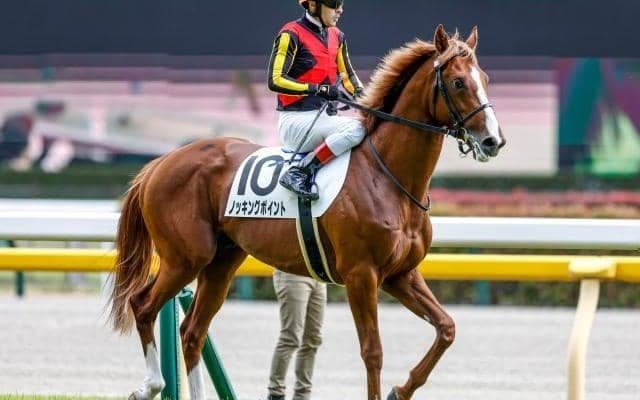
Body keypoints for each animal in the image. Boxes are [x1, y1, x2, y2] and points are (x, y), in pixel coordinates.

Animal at [108, 24, 505, 400]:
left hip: (221, 263)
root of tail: (158, 164)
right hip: (185, 258)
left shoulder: (401, 274)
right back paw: (149, 385)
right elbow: (372, 351)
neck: (388, 177)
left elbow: (446, 328)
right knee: (143, 305)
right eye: (458, 82)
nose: (493, 141)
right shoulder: (362, 274)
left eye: (485, 79)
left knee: (192, 331)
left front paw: (401, 389)